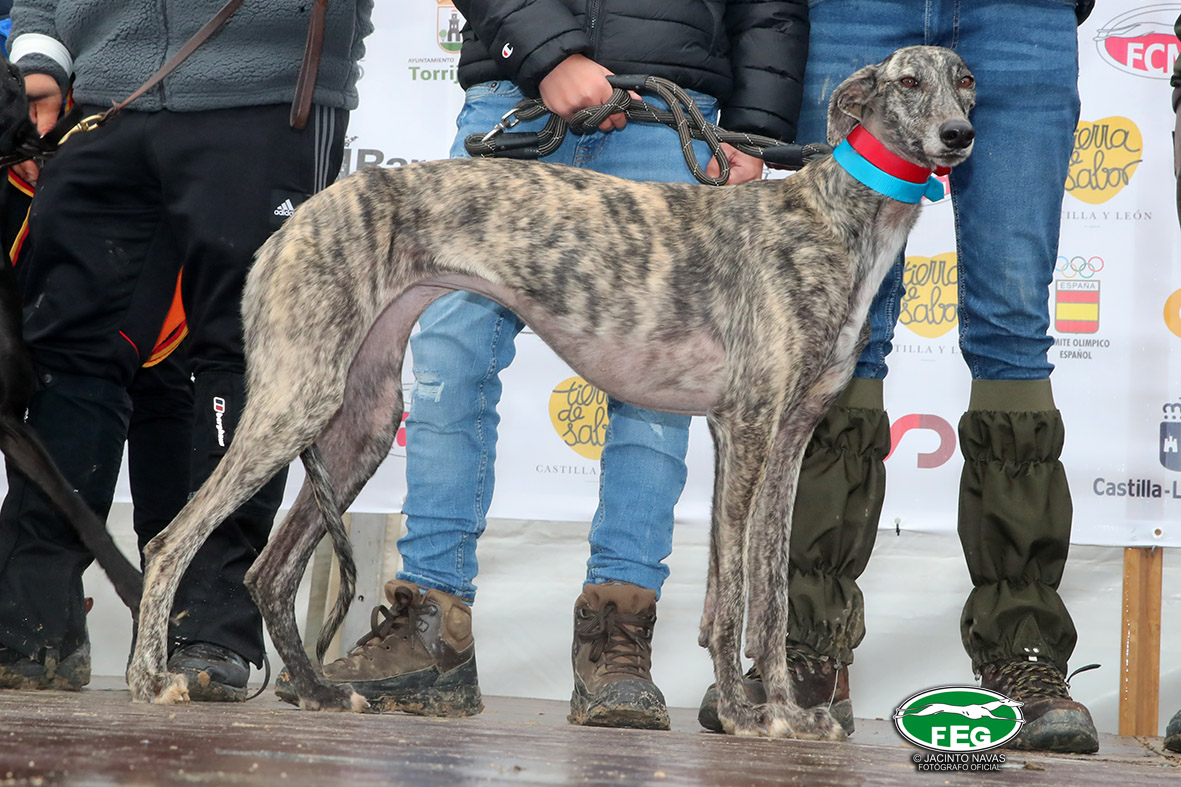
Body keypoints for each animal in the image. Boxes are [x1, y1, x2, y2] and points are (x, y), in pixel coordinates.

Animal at [128, 45, 975, 738]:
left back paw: (317, 690)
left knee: (268, 570)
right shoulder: (746, 427)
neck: (829, 218)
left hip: (360, 420)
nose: (958, 136)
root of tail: (300, 214)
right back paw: (149, 676)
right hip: (296, 398)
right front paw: (742, 711)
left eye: (965, 81)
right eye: (908, 82)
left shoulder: (789, 437)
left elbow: (765, 593)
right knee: (171, 539)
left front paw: (788, 713)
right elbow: (734, 594)